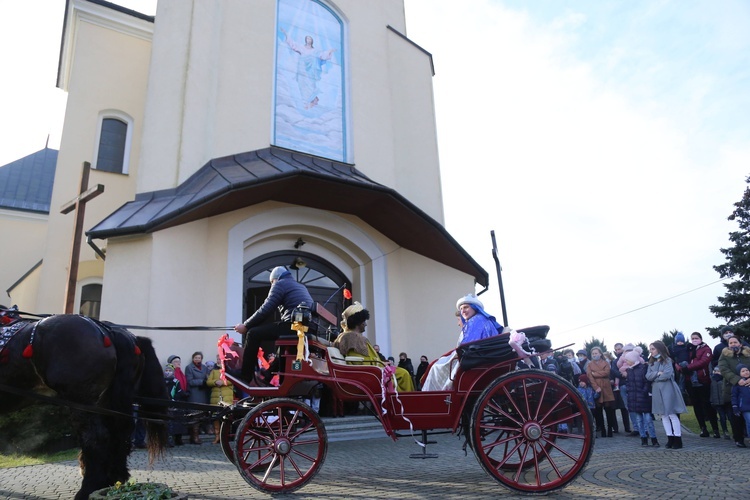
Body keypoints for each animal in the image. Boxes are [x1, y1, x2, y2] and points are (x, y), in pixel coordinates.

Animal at [0, 306, 167, 498]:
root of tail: (110, 331)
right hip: (107, 402)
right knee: (118, 434)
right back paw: (114, 478)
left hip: (81, 401)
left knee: (96, 438)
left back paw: (88, 488)